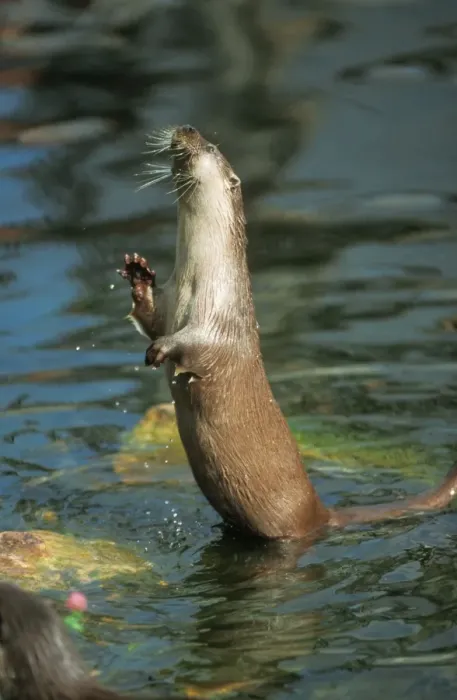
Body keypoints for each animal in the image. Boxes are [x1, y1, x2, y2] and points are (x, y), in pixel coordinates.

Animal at [118, 124, 457, 541]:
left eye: (210, 147)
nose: (187, 128)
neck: (197, 280)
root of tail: (320, 512)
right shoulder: (169, 304)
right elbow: (149, 318)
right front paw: (138, 274)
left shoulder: (220, 319)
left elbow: (194, 345)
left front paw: (161, 350)